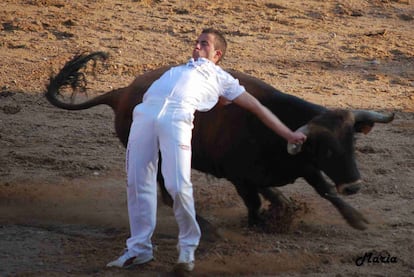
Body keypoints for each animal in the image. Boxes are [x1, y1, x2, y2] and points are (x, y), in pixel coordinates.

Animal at [46, 51, 394, 231]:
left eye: (352, 145)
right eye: (328, 150)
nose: (354, 186)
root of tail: (121, 94)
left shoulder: (304, 165)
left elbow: (324, 190)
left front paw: (357, 218)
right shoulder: (239, 176)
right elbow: (253, 202)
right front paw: (260, 222)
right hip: (158, 155)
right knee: (167, 191)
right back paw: (204, 223)